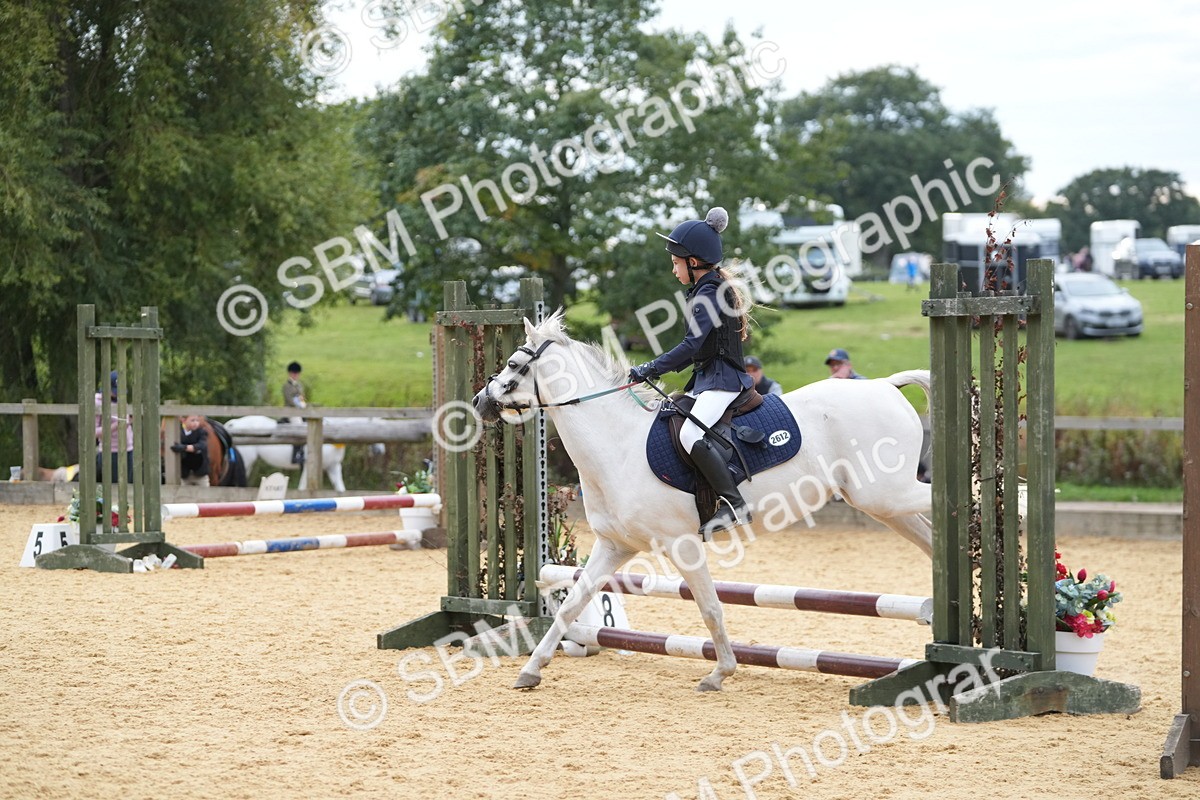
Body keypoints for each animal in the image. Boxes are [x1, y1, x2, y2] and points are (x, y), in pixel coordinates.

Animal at [471, 310, 934, 692]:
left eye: (512, 364)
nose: (479, 401)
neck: (618, 445)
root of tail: (884, 385)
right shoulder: (614, 546)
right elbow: (572, 606)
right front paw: (531, 669)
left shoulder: (683, 544)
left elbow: (710, 607)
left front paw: (720, 673)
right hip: (883, 504)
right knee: (929, 536)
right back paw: (934, 609)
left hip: (887, 494)